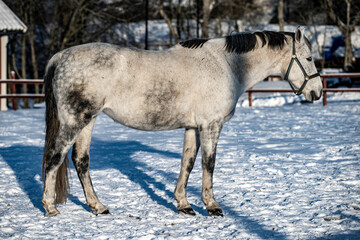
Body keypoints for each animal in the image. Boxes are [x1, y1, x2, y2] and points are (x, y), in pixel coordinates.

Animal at [40, 27, 322, 217]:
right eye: (309, 59)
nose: (317, 92)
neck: (227, 65)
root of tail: (60, 56)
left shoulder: (192, 127)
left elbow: (187, 162)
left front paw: (184, 204)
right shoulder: (210, 125)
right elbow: (208, 163)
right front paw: (212, 205)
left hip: (88, 121)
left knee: (80, 161)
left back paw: (97, 206)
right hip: (74, 122)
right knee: (54, 157)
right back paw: (50, 207)